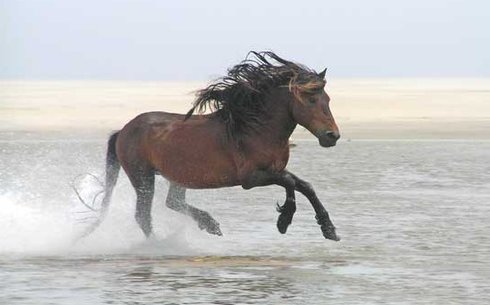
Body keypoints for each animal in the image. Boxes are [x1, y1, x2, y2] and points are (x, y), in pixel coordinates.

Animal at [81, 52, 340, 242]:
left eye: (328, 100)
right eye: (311, 100)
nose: (332, 136)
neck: (256, 129)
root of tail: (123, 130)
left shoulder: (274, 169)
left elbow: (304, 185)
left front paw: (329, 229)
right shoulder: (250, 178)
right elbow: (289, 183)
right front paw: (284, 220)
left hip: (178, 175)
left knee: (173, 202)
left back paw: (210, 224)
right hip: (143, 177)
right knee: (144, 215)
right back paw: (159, 244)